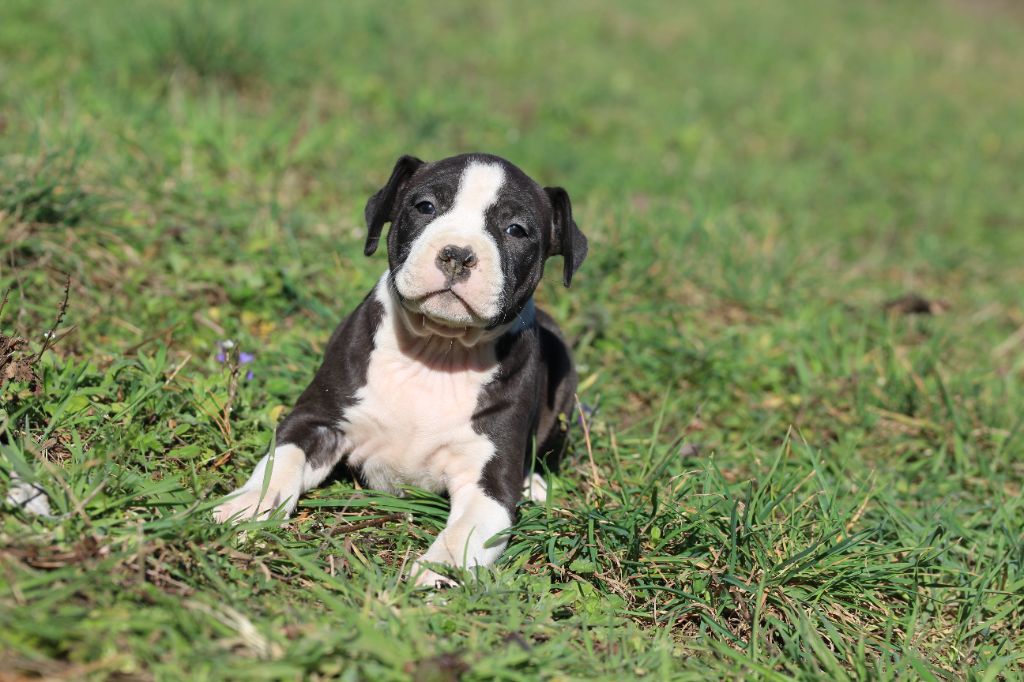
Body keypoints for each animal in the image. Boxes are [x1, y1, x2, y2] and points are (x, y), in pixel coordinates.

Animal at [211, 152, 589, 585]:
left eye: (516, 230)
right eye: (425, 206)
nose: (458, 253)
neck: (437, 352)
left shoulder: (489, 482)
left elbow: (465, 532)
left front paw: (440, 571)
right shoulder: (317, 421)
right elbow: (280, 461)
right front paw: (245, 507)